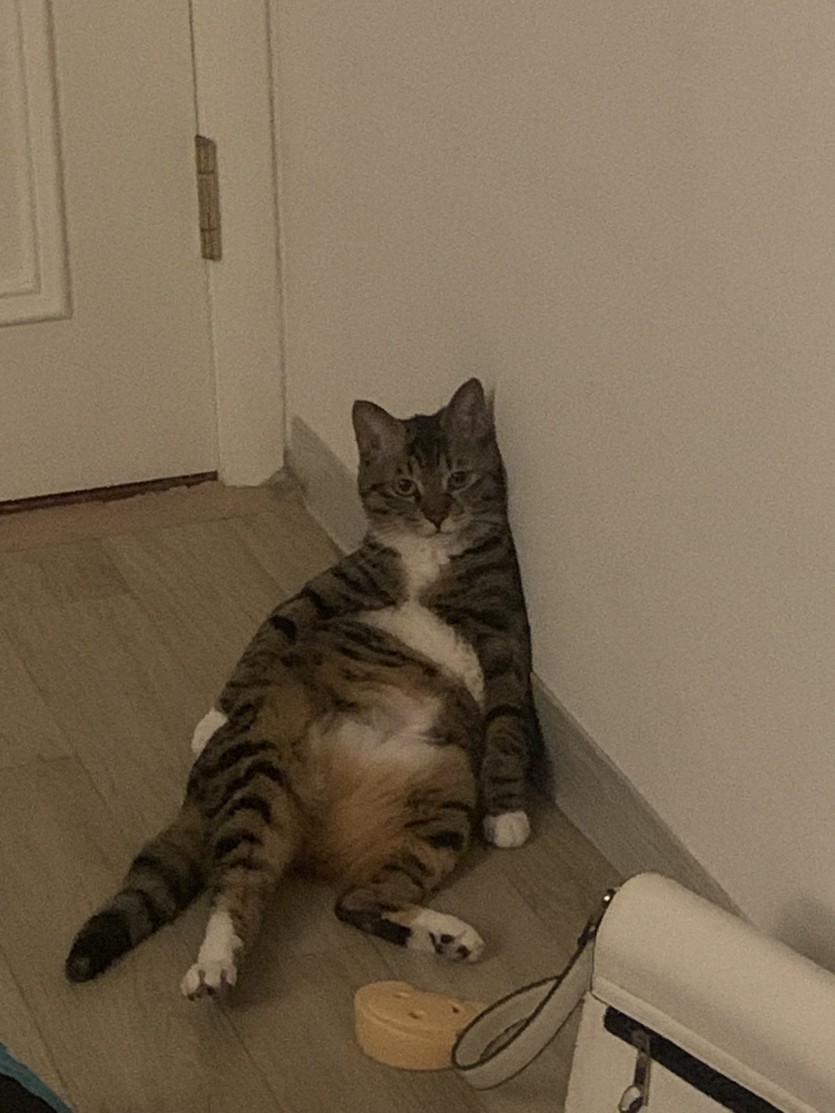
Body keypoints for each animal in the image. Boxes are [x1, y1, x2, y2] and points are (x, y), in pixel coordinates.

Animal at [65, 378, 544, 998]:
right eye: (406, 486)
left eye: (458, 478)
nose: (438, 516)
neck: (427, 555)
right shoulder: (326, 589)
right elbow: (270, 630)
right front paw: (214, 715)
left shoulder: (503, 632)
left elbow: (508, 721)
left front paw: (507, 814)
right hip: (263, 769)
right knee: (240, 885)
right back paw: (216, 965)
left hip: (443, 797)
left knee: (355, 900)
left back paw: (447, 937)